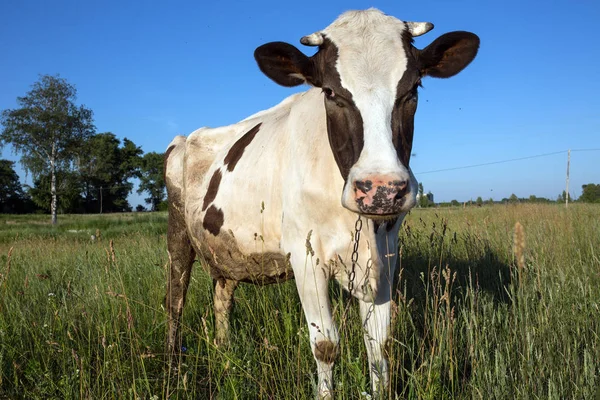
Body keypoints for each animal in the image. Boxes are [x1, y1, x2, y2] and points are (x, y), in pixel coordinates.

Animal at [163, 7, 478, 398]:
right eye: (330, 92)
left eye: (414, 88)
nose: (381, 189)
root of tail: (187, 136)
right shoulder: (306, 257)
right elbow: (326, 345)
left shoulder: (386, 257)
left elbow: (379, 344)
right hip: (178, 233)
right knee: (175, 300)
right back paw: (173, 369)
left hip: (228, 247)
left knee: (223, 296)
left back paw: (226, 354)